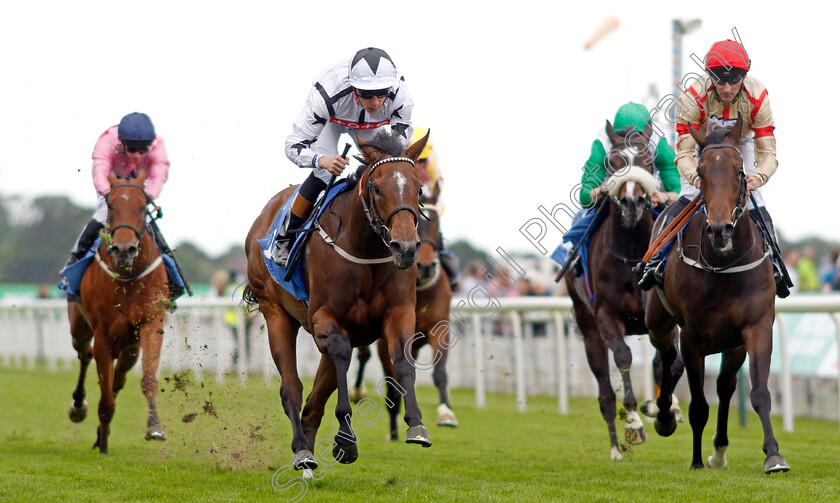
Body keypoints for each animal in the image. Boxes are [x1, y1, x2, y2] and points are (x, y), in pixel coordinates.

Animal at [67, 170, 171, 456]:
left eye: (143, 206)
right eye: (111, 204)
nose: (124, 250)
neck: (127, 278)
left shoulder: (151, 322)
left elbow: (147, 379)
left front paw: (154, 427)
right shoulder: (102, 333)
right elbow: (104, 393)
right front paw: (103, 445)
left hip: (129, 346)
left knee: (119, 379)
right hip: (79, 327)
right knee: (85, 354)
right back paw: (79, 407)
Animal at [241, 130, 426, 472]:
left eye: (418, 188)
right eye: (377, 188)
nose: (405, 247)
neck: (365, 250)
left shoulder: (399, 313)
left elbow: (403, 358)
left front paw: (417, 424)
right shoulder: (324, 319)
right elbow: (341, 357)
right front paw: (345, 439)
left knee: (314, 402)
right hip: (275, 311)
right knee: (292, 388)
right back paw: (302, 450)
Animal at [564, 121, 684, 460]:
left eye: (647, 162)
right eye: (613, 163)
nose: (632, 202)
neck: (632, 254)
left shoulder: (666, 316)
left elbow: (669, 361)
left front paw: (663, 407)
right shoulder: (607, 315)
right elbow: (623, 356)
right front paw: (634, 422)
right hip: (587, 326)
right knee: (605, 391)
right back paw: (617, 449)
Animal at [644, 116, 788, 474]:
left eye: (739, 170)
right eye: (701, 170)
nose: (721, 230)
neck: (725, 263)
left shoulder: (757, 327)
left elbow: (759, 392)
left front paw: (774, 455)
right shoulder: (693, 336)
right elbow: (698, 404)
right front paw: (696, 460)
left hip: (732, 343)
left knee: (724, 386)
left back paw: (720, 451)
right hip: (657, 321)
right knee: (667, 355)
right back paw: (665, 417)